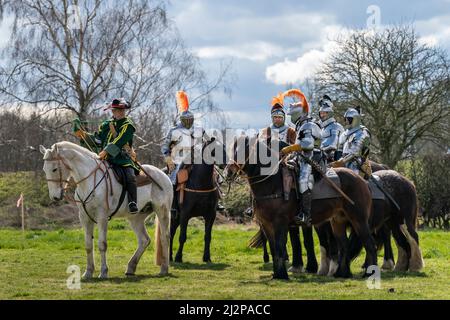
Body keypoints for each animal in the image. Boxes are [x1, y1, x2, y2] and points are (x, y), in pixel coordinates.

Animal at [39, 141, 173, 278]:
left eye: (54, 169)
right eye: (44, 169)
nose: (55, 197)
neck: (88, 182)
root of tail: (162, 174)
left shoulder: (102, 216)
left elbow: (102, 244)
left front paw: (103, 272)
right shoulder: (84, 217)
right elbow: (88, 245)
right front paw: (88, 272)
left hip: (162, 211)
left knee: (165, 237)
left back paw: (164, 268)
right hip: (135, 218)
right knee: (144, 240)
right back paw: (131, 267)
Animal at [225, 136, 376, 278]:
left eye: (244, 149)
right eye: (232, 149)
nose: (228, 172)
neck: (272, 183)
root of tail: (362, 180)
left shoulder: (280, 222)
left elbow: (280, 247)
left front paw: (282, 275)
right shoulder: (266, 224)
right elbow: (274, 249)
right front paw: (276, 274)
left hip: (359, 220)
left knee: (369, 244)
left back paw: (369, 274)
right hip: (338, 221)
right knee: (344, 246)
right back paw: (341, 274)